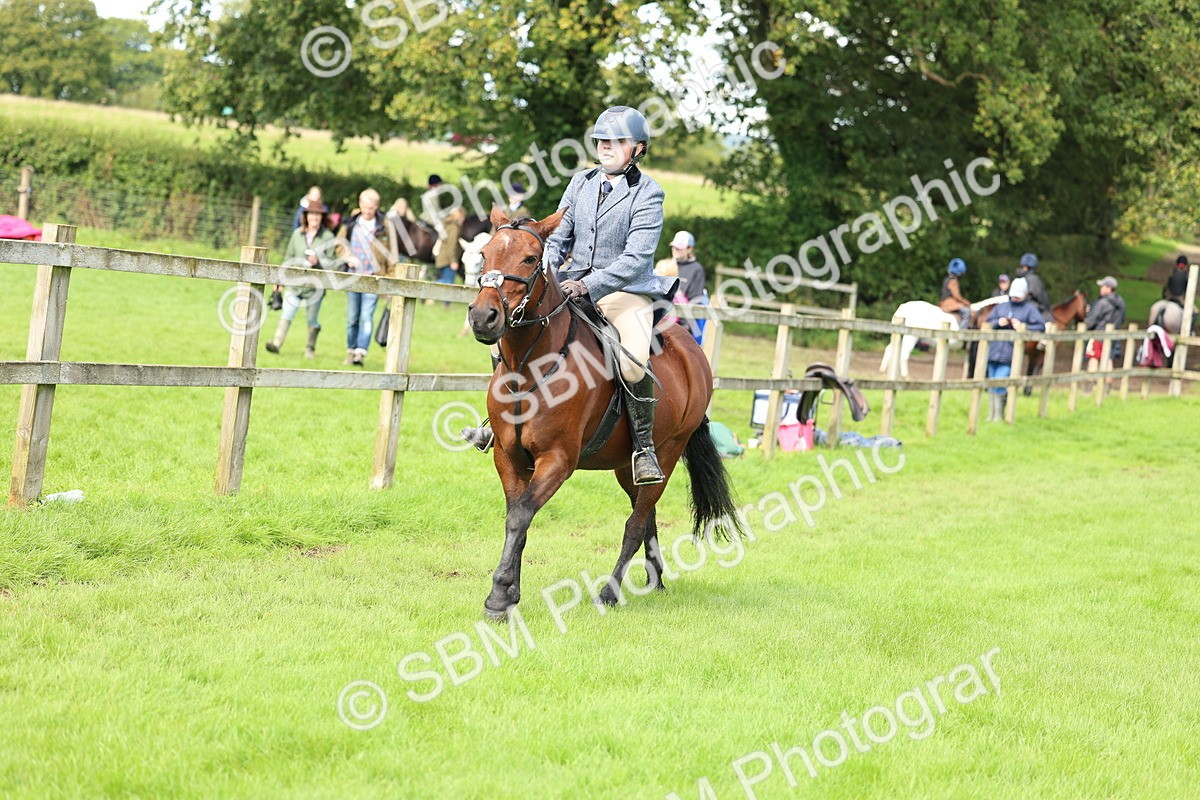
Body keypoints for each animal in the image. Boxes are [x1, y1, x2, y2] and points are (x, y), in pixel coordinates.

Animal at [467, 207, 742, 620]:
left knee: (636, 523)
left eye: (530, 259)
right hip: (625, 466)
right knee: (647, 517)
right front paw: (510, 592)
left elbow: (520, 516)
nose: (483, 317)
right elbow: (517, 519)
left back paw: (609, 593)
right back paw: (655, 579)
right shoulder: (508, 456)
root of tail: (693, 352)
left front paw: (499, 597)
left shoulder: (557, 460)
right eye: (484, 254)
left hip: (666, 455)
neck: (530, 367)